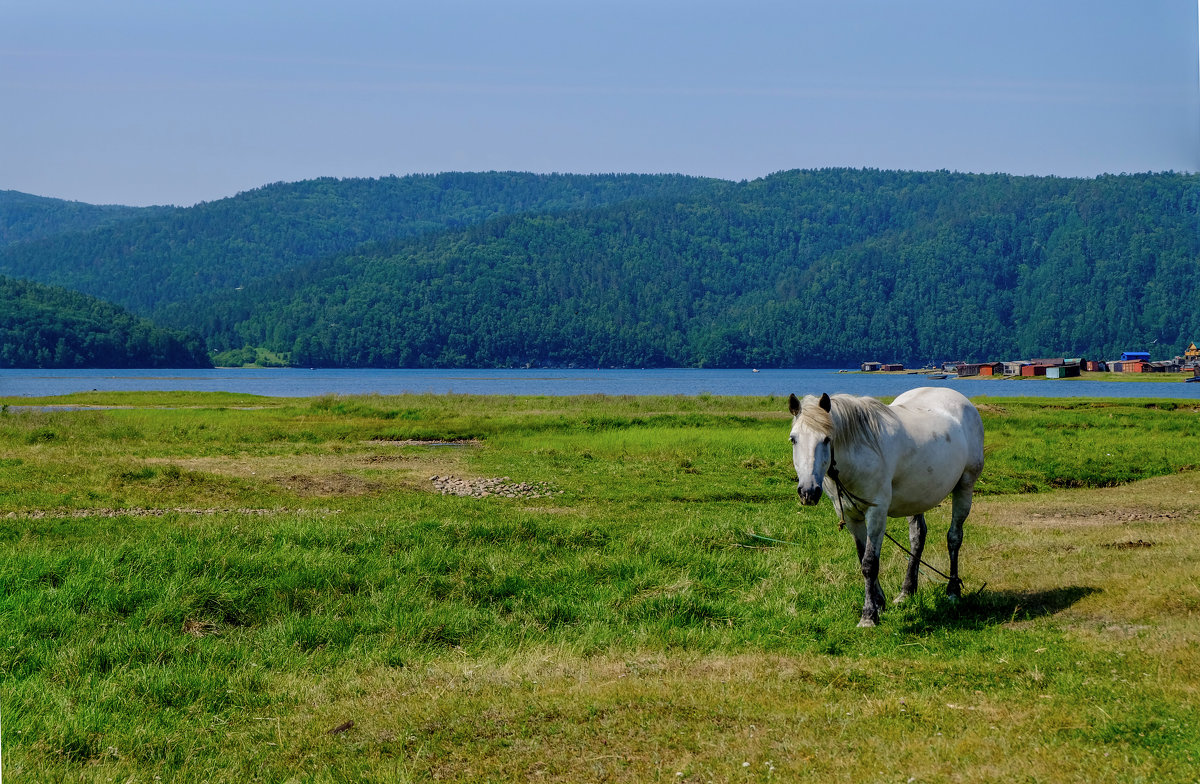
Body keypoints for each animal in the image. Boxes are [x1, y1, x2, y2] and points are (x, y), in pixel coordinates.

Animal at [787, 388, 984, 629]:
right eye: (794, 439)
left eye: (826, 439)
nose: (808, 492)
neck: (861, 450)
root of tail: (961, 400)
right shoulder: (852, 517)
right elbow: (862, 558)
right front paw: (879, 602)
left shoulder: (876, 513)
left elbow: (870, 563)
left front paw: (868, 615)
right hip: (917, 495)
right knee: (917, 538)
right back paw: (906, 592)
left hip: (965, 487)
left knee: (954, 538)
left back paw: (953, 591)